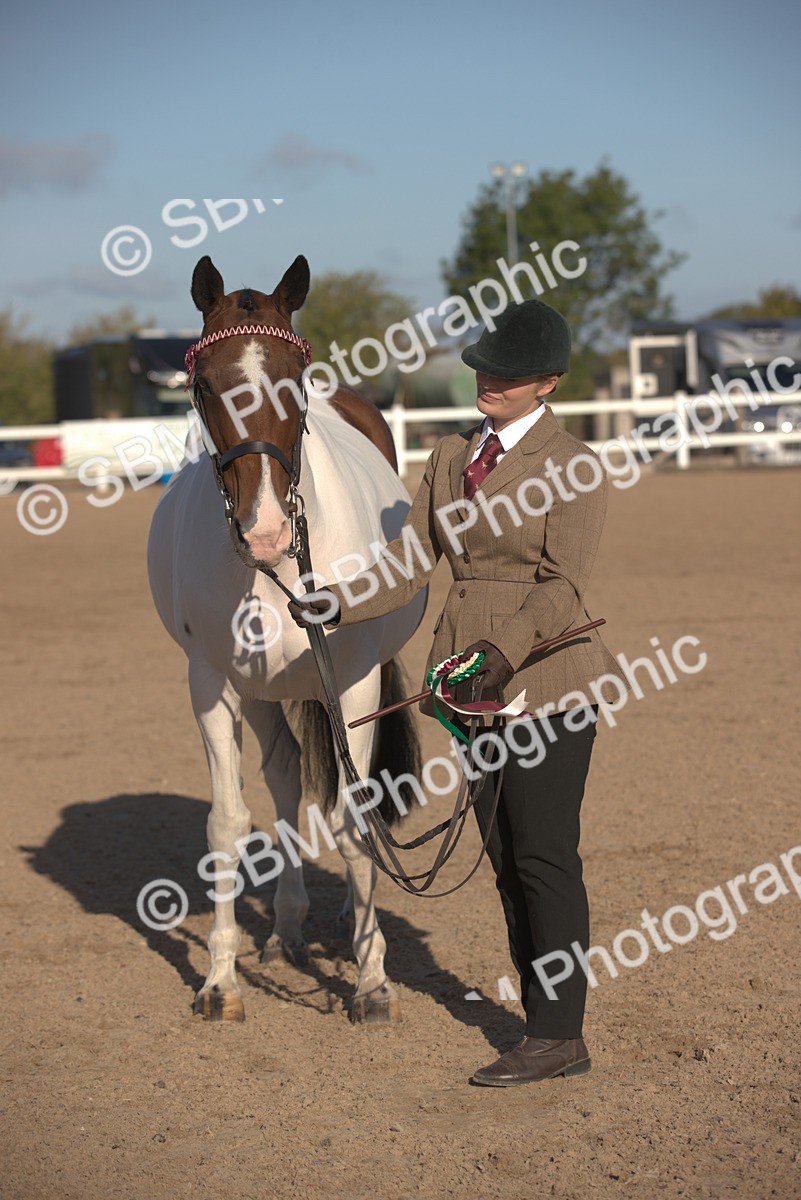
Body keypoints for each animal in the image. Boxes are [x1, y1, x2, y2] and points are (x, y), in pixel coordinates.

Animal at [147, 254, 426, 1023]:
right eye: (203, 384)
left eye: (295, 379)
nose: (266, 529)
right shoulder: (211, 683)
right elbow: (227, 823)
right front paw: (220, 981)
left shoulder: (353, 679)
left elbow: (357, 815)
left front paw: (372, 978)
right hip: (265, 690)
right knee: (285, 782)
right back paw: (287, 928)